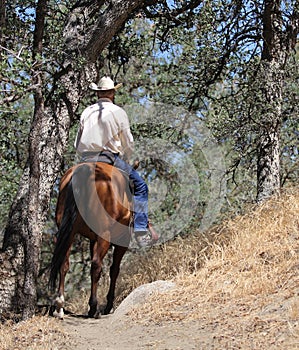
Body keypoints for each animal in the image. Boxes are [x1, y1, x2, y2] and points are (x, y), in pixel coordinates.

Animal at [49, 163, 132, 318]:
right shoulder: (122, 240)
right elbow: (114, 270)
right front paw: (108, 305)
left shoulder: (93, 240)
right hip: (104, 235)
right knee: (96, 265)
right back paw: (93, 307)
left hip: (69, 232)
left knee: (64, 263)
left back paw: (59, 305)